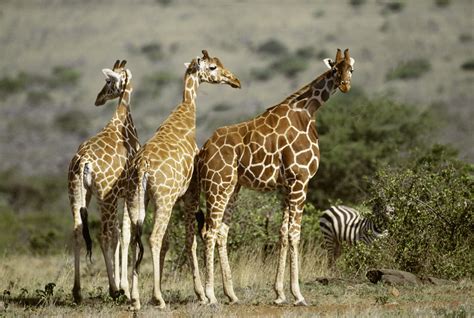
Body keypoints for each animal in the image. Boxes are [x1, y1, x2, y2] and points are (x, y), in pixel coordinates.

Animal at [67, 60, 140, 304]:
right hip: (104, 198)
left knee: (78, 231)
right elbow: (123, 234)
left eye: (108, 81)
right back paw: (113, 290)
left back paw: (77, 292)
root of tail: (83, 162)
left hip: (77, 194)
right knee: (104, 235)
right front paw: (124, 286)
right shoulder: (126, 193)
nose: (98, 99)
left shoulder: (116, 195)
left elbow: (118, 234)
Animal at [126, 50, 241, 310]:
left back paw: (135, 299)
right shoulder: (190, 192)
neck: (186, 113)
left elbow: (170, 243)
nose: (235, 80)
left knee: (136, 239)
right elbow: (191, 240)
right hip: (164, 200)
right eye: (212, 67)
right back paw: (159, 299)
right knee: (154, 238)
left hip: (138, 199)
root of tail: (142, 167)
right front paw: (201, 294)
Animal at [185, 47, 356, 306]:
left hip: (233, 187)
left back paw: (231, 295)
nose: (345, 85)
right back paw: (211, 296)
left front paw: (279, 294)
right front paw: (298, 295)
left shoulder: (286, 185)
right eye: (335, 68)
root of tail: (202, 152)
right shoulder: (300, 179)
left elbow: (283, 233)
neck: (307, 112)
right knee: (209, 232)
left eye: (351, 68)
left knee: (222, 232)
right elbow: (295, 234)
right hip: (217, 186)